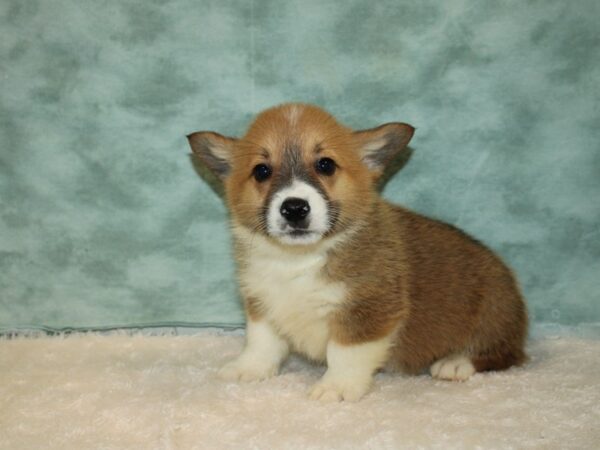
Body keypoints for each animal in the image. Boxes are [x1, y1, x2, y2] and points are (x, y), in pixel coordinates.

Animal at [190, 103, 528, 400]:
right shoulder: (263, 303)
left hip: (493, 315)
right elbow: (261, 342)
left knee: (505, 355)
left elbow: (344, 354)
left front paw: (336, 387)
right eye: (261, 171)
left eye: (325, 164)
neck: (301, 259)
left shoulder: (367, 312)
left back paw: (456, 363)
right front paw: (249, 368)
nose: (294, 208)